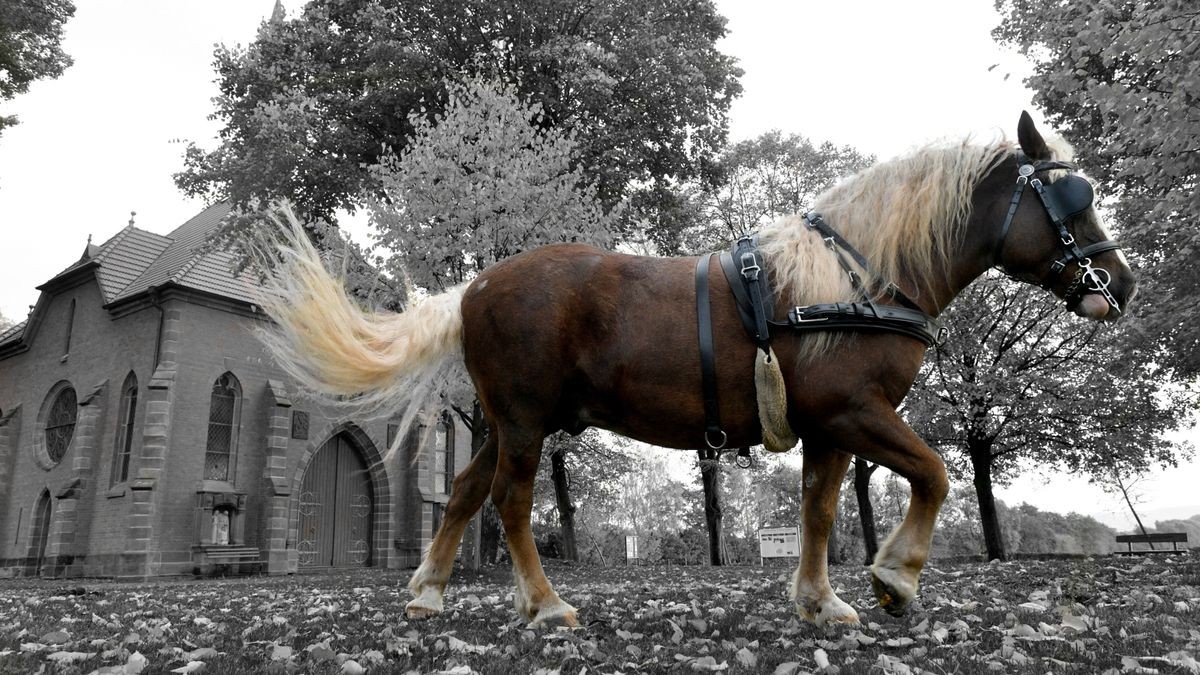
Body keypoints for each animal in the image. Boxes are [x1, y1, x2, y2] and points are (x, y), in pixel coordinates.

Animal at [253, 114, 1132, 624]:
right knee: (508, 502)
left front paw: (820, 599)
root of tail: (474, 285)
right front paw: (896, 576)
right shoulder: (856, 411)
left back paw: (430, 589)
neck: (855, 279)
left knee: (468, 491)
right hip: (528, 422)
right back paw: (545, 604)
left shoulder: (829, 429)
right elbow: (937, 473)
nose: (1119, 284)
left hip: (504, 421)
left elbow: (819, 512)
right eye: (1071, 199)